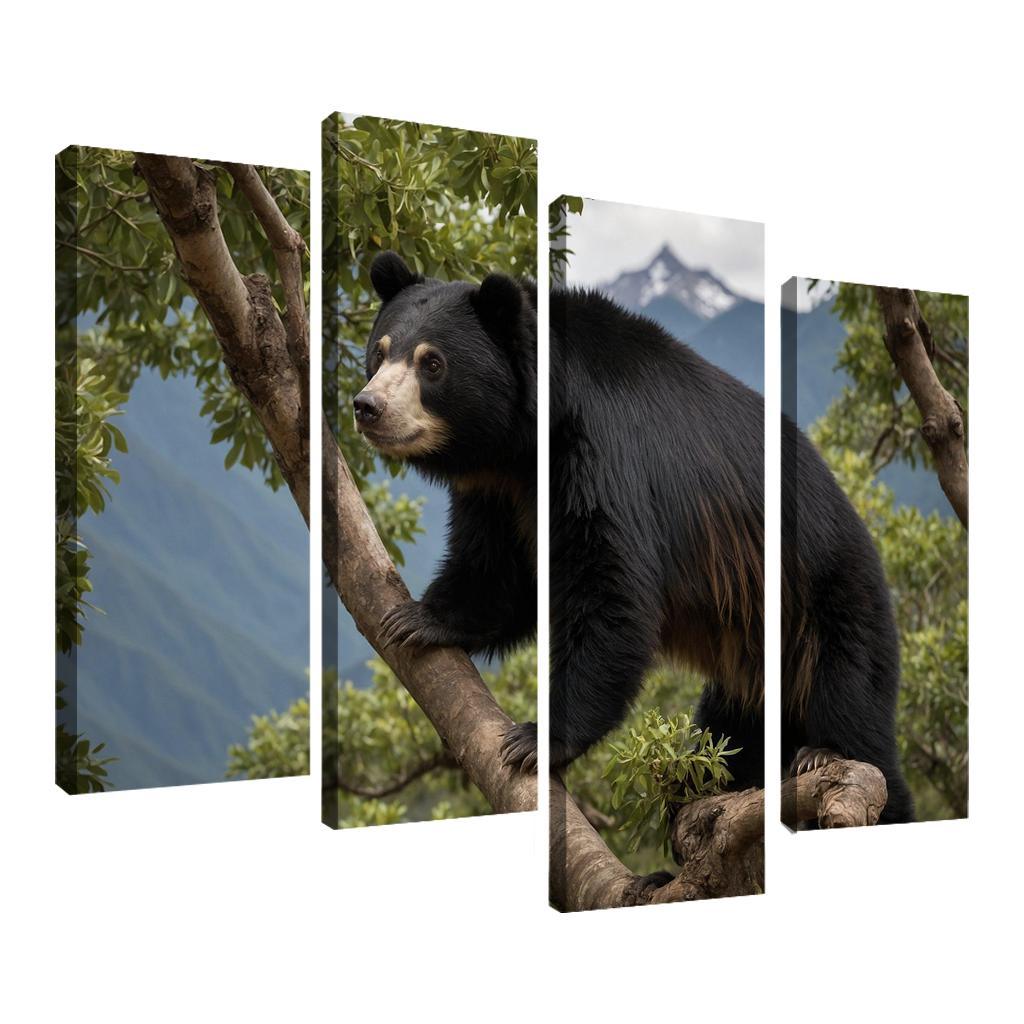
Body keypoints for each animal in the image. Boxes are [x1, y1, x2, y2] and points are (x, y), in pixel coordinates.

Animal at [354, 251, 537, 665]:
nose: (368, 406)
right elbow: (496, 561)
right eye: (379, 352)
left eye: (432, 363)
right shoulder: (492, 487)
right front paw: (418, 619)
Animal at [499, 286, 914, 827]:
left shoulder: (606, 459)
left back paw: (826, 756)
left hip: (830, 602)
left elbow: (612, 594)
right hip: (754, 662)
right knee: (732, 728)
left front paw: (534, 739)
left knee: (855, 701)